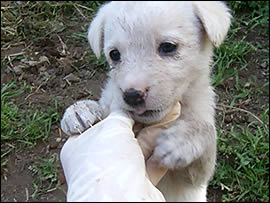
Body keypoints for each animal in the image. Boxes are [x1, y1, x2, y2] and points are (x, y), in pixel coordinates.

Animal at [61, 1, 232, 201]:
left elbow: (206, 131)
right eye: (114, 54)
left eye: (168, 47)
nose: (132, 95)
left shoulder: (194, 178)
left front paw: (180, 141)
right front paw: (80, 110)